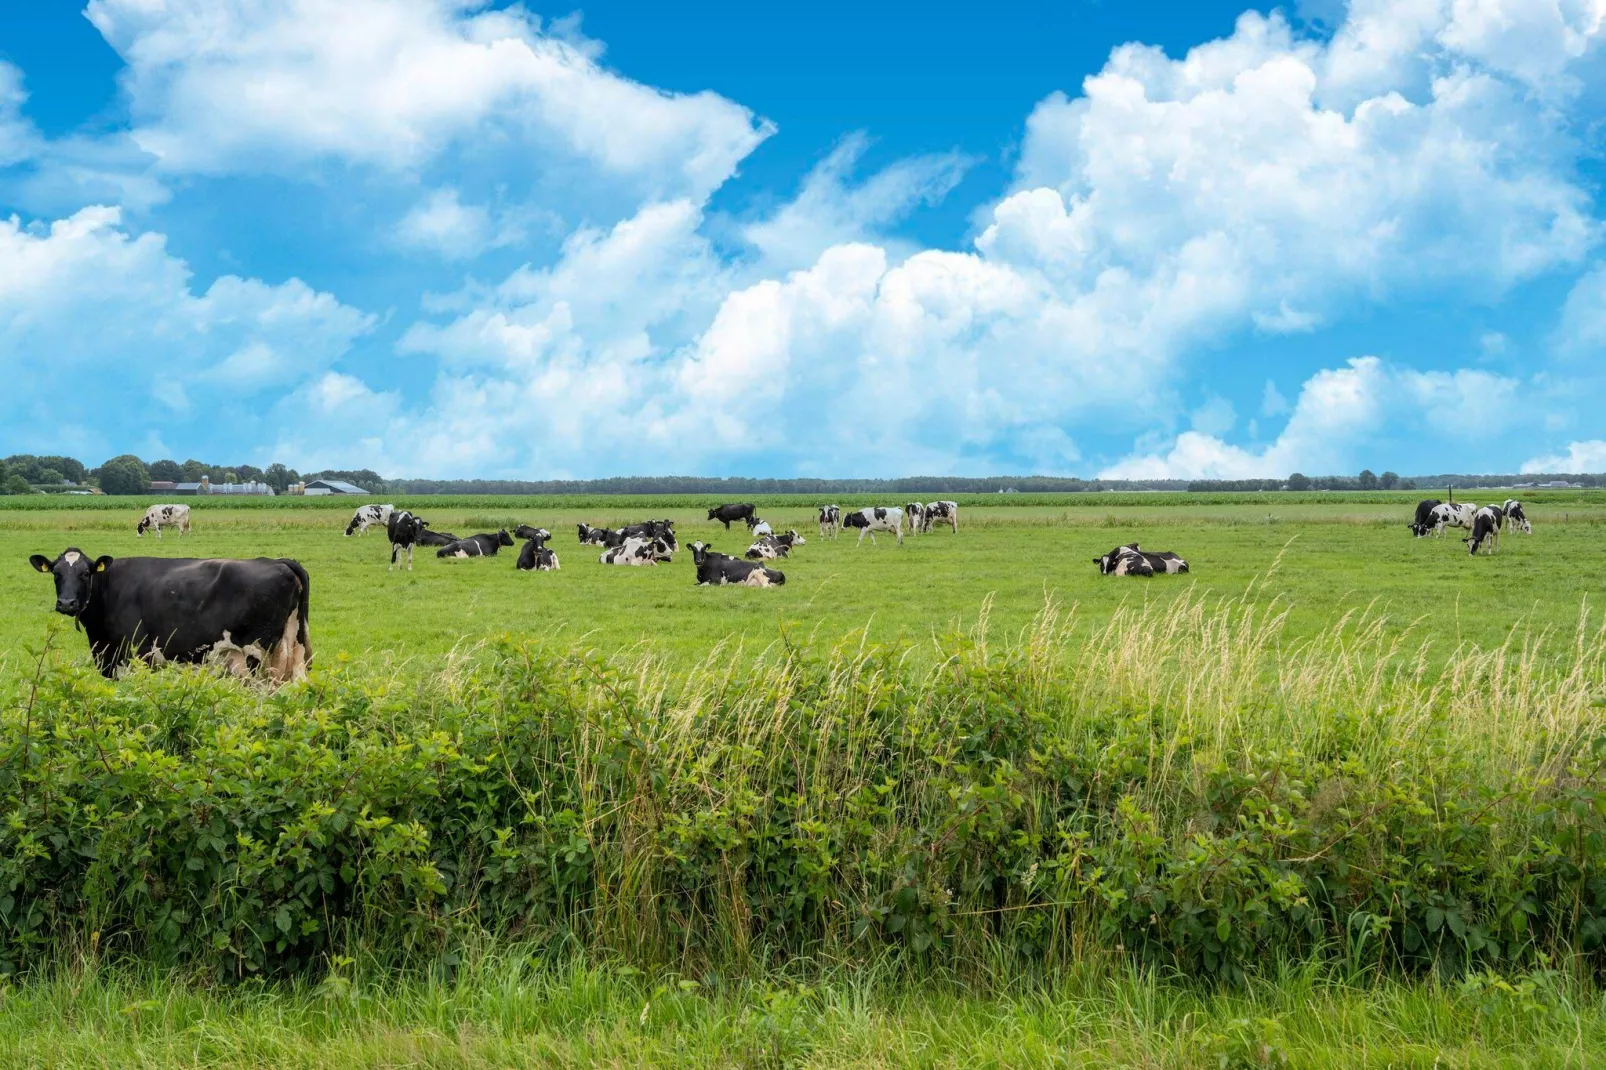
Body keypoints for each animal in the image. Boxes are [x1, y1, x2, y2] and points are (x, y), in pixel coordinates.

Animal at [27, 546, 309, 677]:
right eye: (56, 574)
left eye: (85, 574)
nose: (67, 603)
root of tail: (276, 562)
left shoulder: (136, 654)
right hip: (295, 649)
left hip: (259, 654)